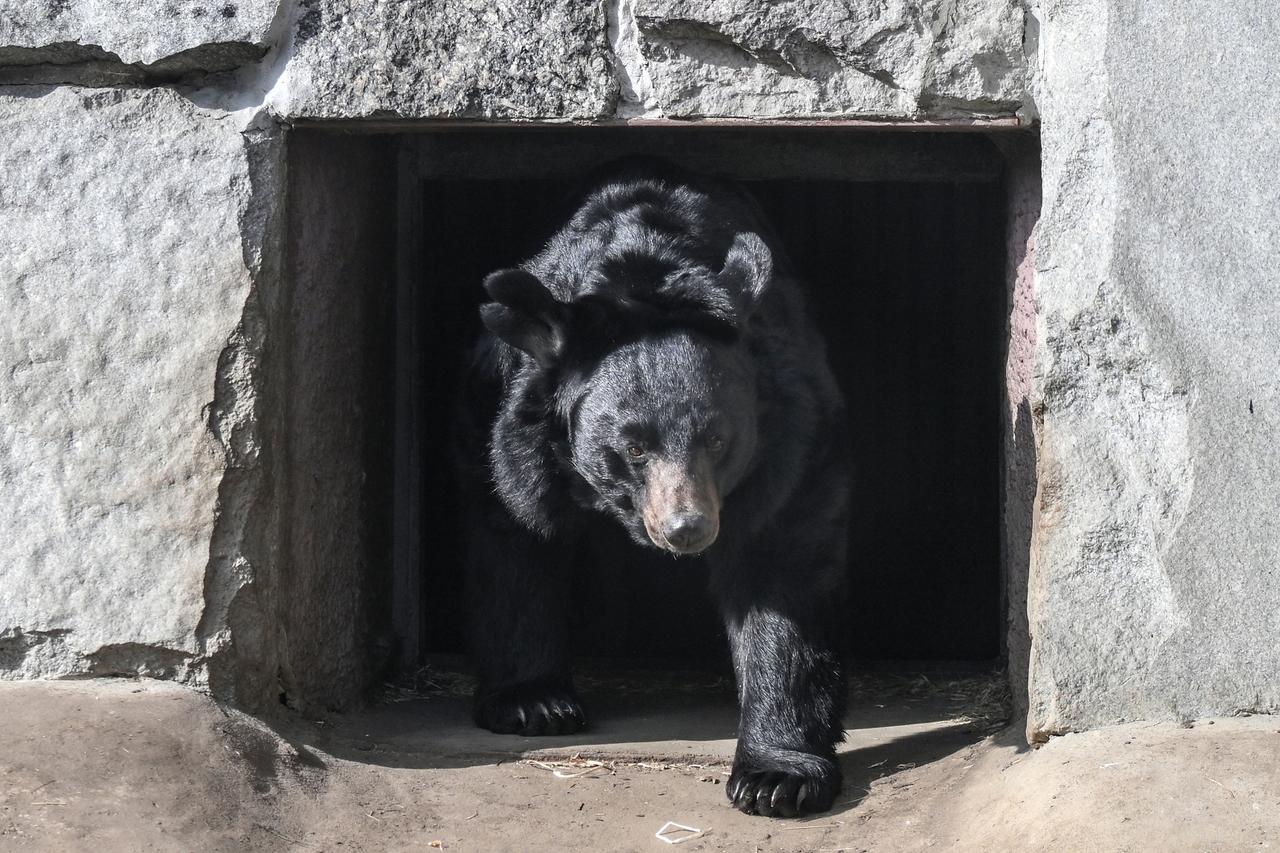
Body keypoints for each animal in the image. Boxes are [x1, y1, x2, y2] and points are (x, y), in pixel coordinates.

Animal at [455, 159, 850, 818]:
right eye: (634, 447)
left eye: (717, 439)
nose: (687, 528)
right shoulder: (509, 420)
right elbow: (516, 526)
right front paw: (535, 703)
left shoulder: (793, 432)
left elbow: (780, 563)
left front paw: (776, 777)